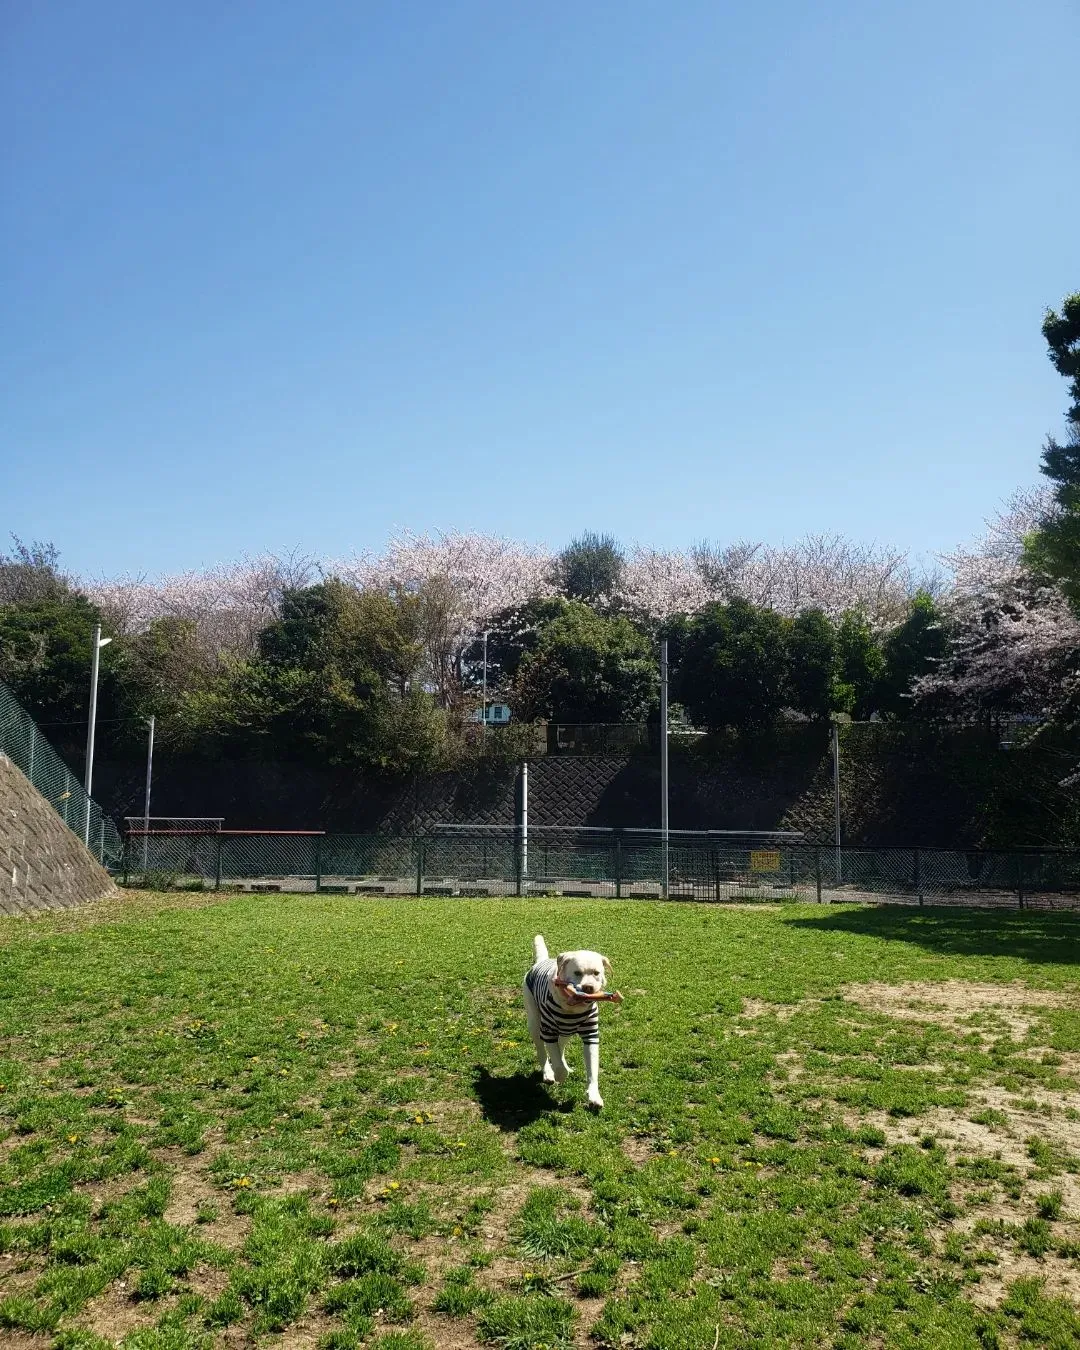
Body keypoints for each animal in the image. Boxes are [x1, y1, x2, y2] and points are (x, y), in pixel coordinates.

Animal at [526, 934, 612, 1112]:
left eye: (596, 973)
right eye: (577, 972)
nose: (588, 987)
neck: (572, 1009)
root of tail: (541, 961)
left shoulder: (591, 1036)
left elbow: (592, 1070)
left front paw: (594, 1096)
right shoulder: (549, 1031)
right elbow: (557, 1064)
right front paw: (558, 1075)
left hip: (567, 1031)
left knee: (561, 1046)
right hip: (535, 1024)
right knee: (542, 1052)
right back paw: (548, 1072)